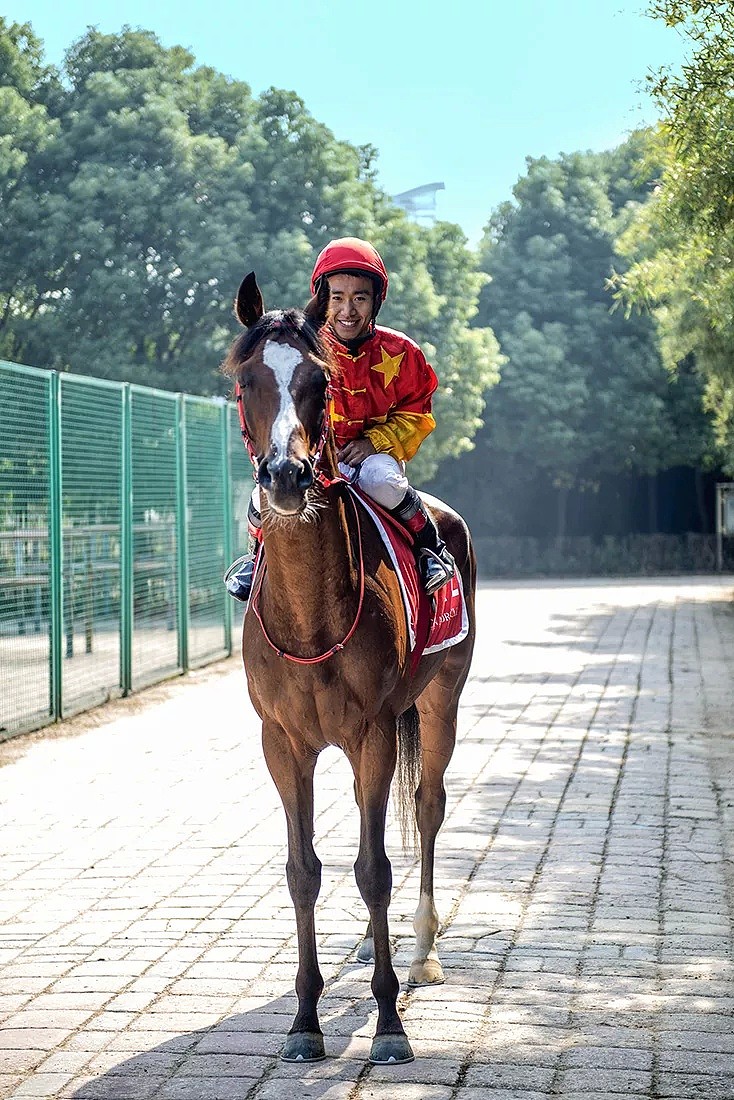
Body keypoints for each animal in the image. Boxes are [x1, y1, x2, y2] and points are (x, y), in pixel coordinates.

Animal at [224, 270, 477, 1060]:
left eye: (318, 383)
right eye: (247, 381)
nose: (284, 475)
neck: (312, 609)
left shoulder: (371, 730)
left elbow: (375, 869)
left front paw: (390, 1020)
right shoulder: (282, 741)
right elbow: (304, 871)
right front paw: (305, 1019)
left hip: (439, 702)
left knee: (426, 808)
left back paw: (421, 950)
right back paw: (372, 943)